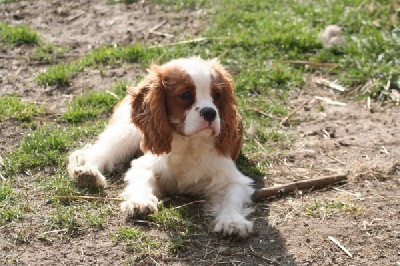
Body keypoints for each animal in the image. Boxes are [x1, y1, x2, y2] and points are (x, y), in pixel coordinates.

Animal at [68, 56, 253, 237]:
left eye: (217, 95)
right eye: (186, 94)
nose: (210, 112)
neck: (189, 143)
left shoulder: (233, 178)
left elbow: (232, 196)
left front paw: (232, 221)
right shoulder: (145, 164)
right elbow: (142, 179)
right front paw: (140, 202)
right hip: (127, 133)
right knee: (97, 154)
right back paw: (89, 173)